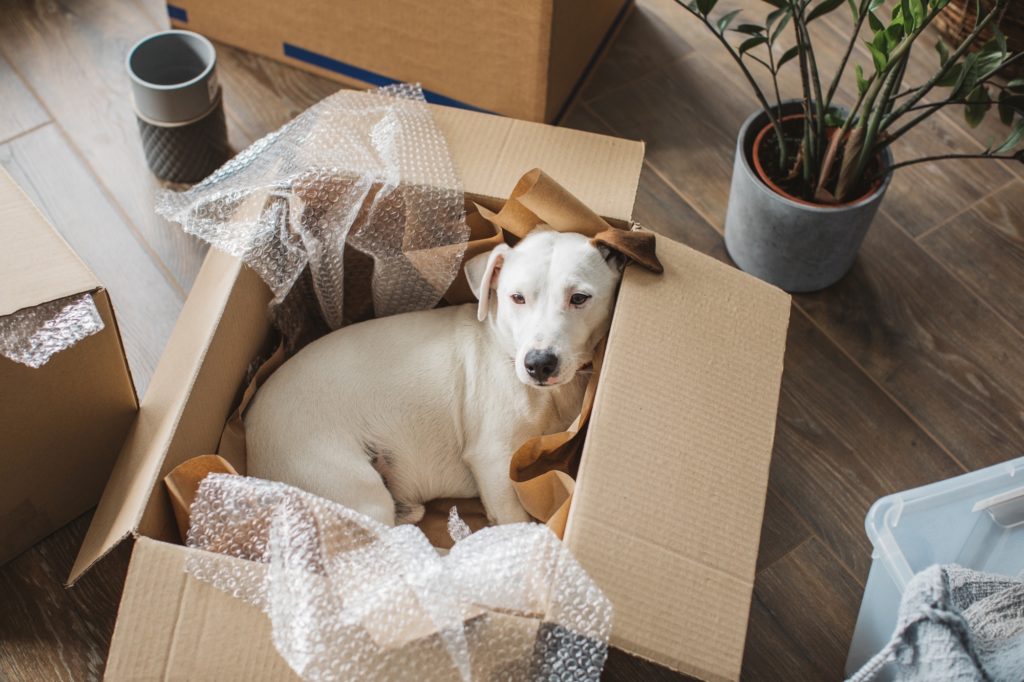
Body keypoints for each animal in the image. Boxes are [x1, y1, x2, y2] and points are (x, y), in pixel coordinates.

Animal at [243, 229, 622, 524]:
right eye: (516, 297)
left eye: (579, 298)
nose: (539, 364)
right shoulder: (493, 459)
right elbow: (514, 521)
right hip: (355, 489)